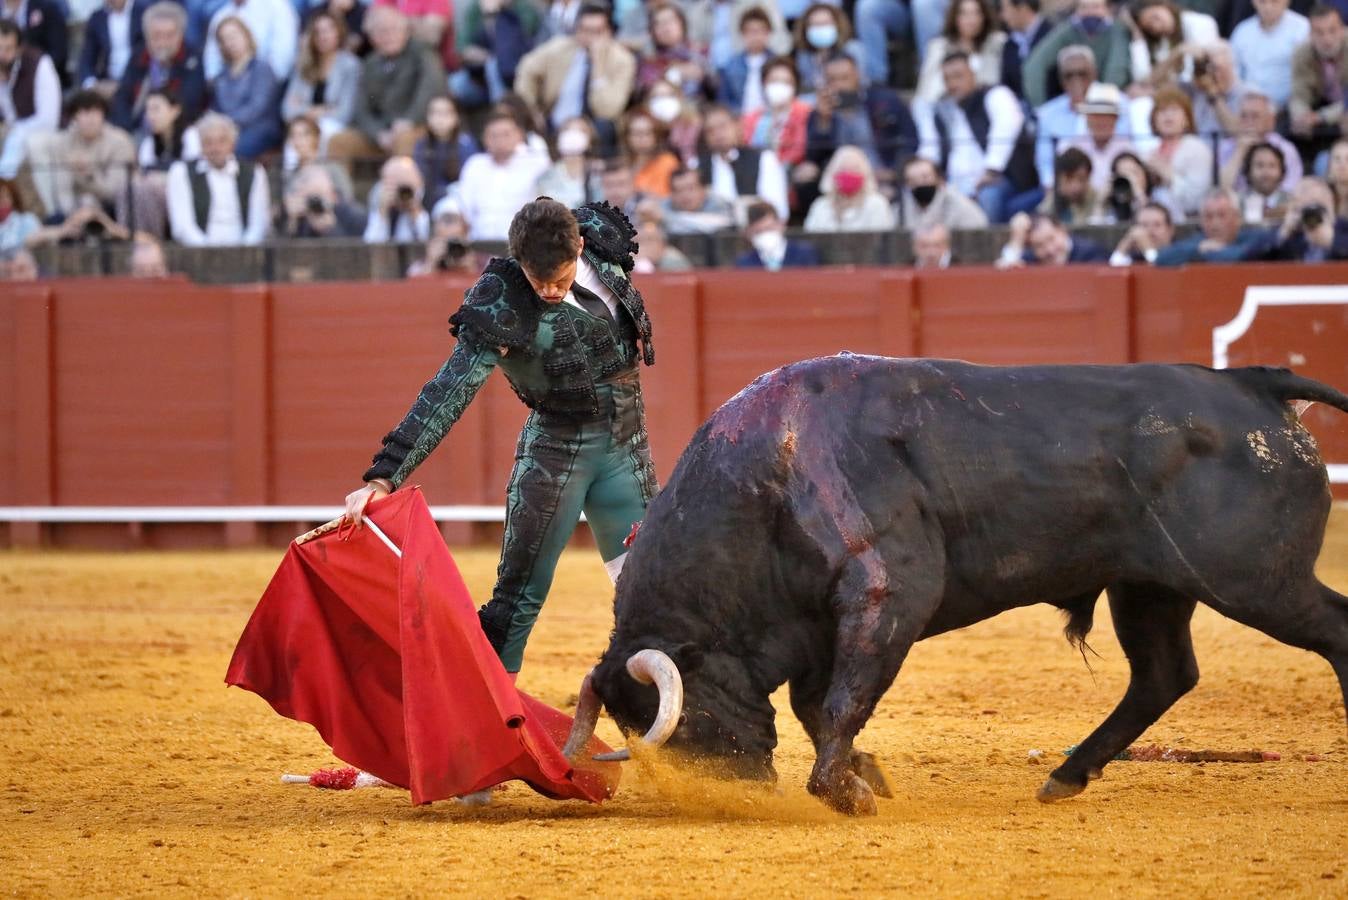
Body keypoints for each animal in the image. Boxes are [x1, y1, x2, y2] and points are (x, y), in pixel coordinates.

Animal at [560, 355, 1348, 813]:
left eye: (681, 715)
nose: (735, 795)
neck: (768, 475)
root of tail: (1253, 383)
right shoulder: (821, 627)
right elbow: (820, 705)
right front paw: (864, 775)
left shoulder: (888, 591)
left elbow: (840, 700)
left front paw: (842, 792)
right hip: (1149, 586)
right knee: (1163, 674)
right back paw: (1067, 777)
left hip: (1252, 579)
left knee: (1332, 632)